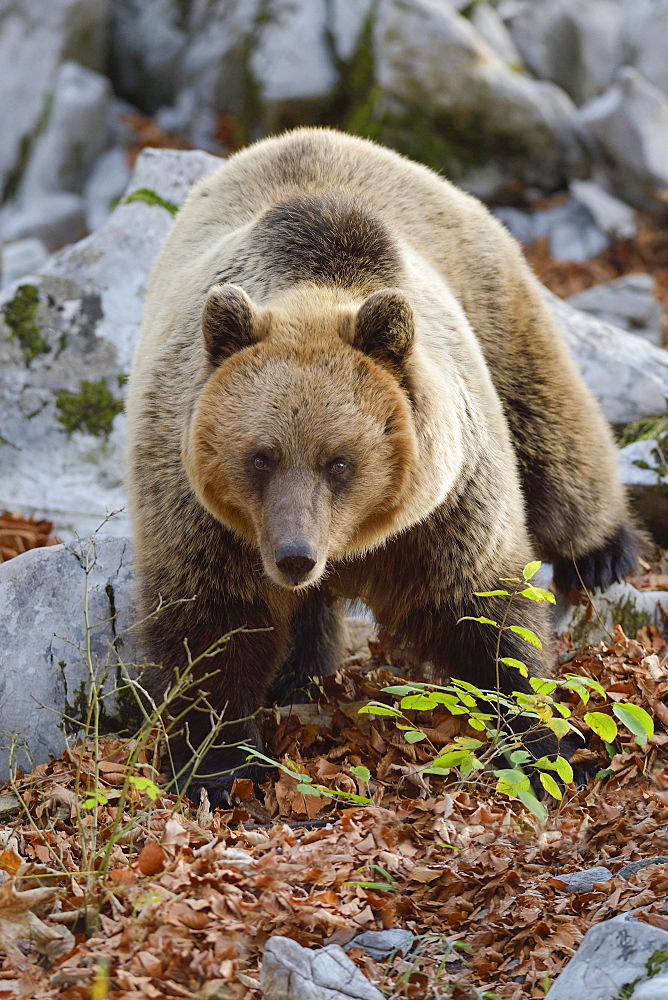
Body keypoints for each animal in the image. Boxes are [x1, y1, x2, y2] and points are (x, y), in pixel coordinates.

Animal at [125, 127, 640, 804]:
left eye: (339, 461)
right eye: (260, 457)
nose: (294, 556)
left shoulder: (447, 499)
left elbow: (484, 609)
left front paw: (544, 745)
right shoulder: (202, 510)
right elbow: (212, 627)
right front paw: (218, 766)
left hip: (493, 304)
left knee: (554, 442)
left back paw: (607, 552)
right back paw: (299, 674)